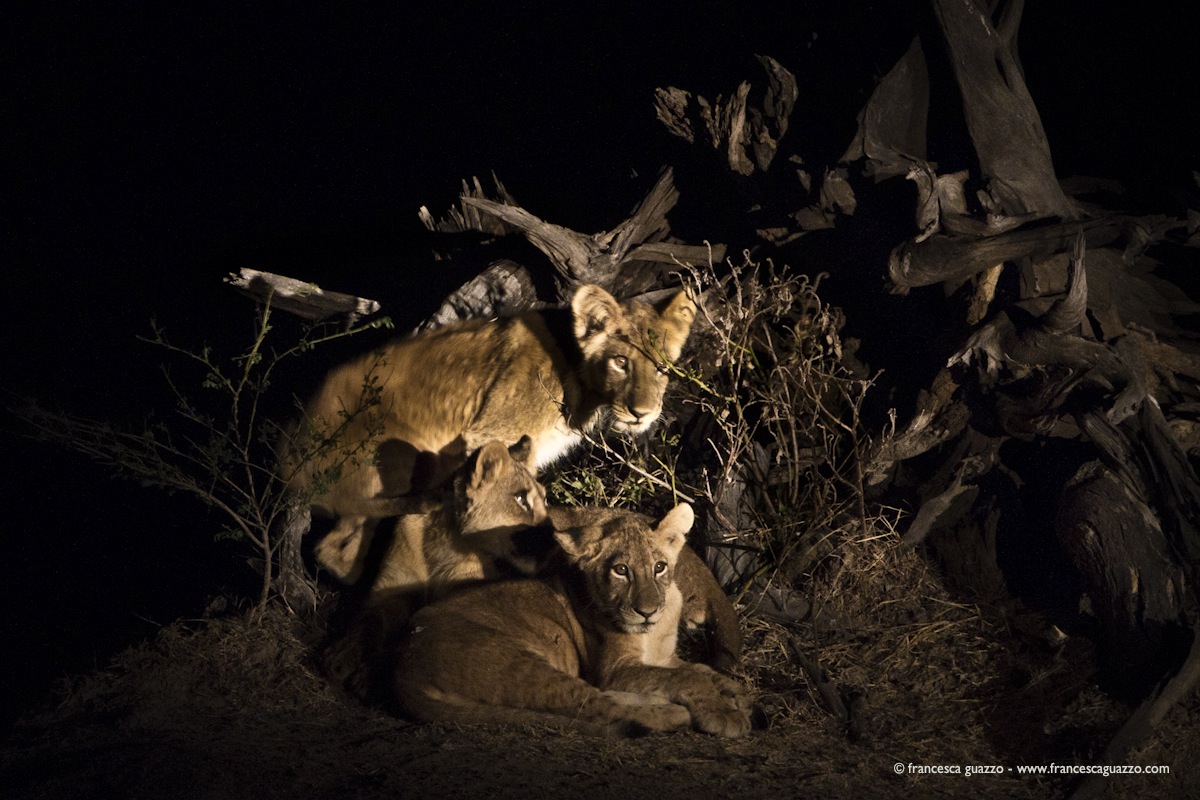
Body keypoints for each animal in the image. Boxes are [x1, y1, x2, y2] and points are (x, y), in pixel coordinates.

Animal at [284, 283, 697, 579]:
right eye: (621, 362)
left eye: (662, 368)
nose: (642, 414)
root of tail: (287, 461)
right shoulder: (488, 434)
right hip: (396, 451)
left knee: (335, 552)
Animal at [387, 503, 754, 737]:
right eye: (621, 570)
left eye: (660, 567)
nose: (647, 611)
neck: (656, 631)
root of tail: (401, 670)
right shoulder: (614, 670)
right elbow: (688, 678)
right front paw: (725, 713)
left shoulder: (663, 658)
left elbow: (700, 670)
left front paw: (734, 691)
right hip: (514, 663)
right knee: (592, 703)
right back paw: (671, 713)